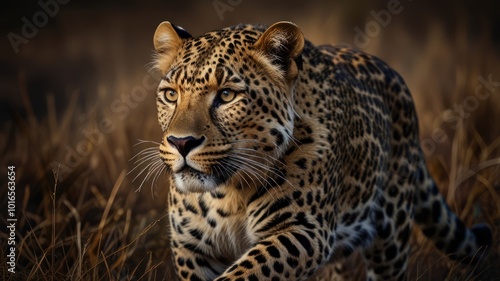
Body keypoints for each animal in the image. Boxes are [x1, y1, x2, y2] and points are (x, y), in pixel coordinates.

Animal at [149, 20, 492, 280]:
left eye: (226, 95)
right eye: (170, 95)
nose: (181, 143)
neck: (227, 194)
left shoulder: (303, 230)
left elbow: (245, 273)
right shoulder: (192, 247)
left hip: (391, 237)